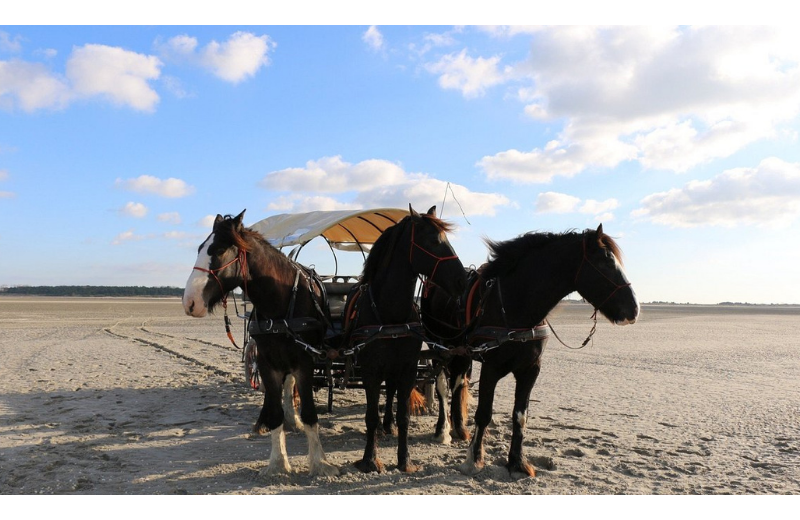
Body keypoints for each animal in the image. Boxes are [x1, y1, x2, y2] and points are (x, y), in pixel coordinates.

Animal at [183, 210, 340, 476]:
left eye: (219, 250)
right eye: (200, 248)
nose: (190, 302)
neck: (281, 303)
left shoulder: (305, 362)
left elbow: (310, 413)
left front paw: (320, 463)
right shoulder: (267, 362)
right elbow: (276, 412)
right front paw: (278, 463)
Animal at [346, 205, 468, 474]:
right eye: (434, 240)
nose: (463, 281)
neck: (391, 316)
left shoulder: (407, 368)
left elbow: (404, 416)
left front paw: (405, 459)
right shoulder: (370, 370)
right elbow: (370, 416)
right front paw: (370, 459)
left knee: (390, 391)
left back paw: (388, 425)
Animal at [424, 222, 636, 476]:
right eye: (606, 261)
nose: (634, 309)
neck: (516, 306)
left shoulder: (530, 369)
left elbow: (520, 416)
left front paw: (517, 461)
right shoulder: (491, 368)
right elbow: (484, 414)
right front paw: (474, 459)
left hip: (461, 353)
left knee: (457, 385)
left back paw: (459, 428)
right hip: (438, 348)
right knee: (442, 388)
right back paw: (442, 430)